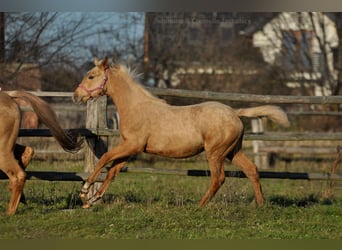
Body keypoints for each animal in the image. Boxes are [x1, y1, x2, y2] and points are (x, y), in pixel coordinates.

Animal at [73, 57, 290, 208]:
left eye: (91, 76)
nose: (76, 96)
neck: (136, 107)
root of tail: (235, 113)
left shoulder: (132, 145)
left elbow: (104, 159)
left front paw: (84, 192)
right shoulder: (130, 149)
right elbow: (112, 171)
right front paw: (92, 200)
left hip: (216, 153)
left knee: (218, 178)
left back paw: (200, 206)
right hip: (232, 152)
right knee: (252, 170)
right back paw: (260, 204)